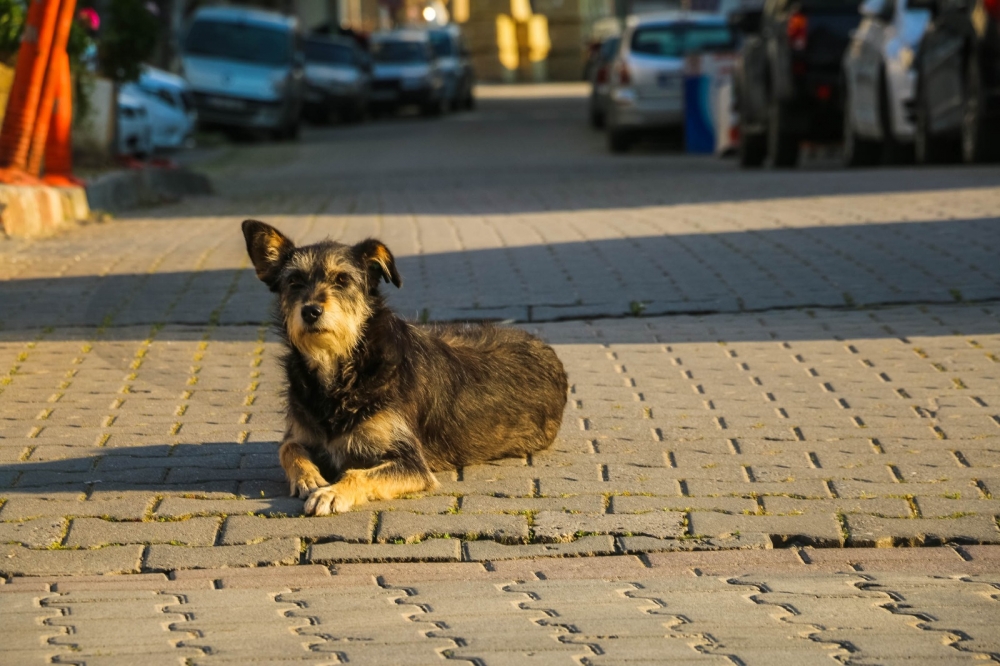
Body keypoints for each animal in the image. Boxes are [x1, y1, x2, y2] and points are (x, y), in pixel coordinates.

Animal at [243, 219, 572, 512]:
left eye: (342, 280)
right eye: (294, 281)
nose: (310, 311)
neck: (344, 369)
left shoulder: (411, 463)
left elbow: (357, 473)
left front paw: (332, 492)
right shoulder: (301, 433)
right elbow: (288, 448)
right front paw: (309, 477)